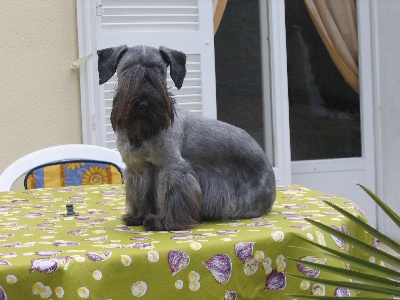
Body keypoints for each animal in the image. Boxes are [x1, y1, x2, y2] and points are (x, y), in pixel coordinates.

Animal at [98, 45, 276, 231]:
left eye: (159, 71)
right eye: (127, 70)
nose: (144, 104)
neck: (144, 131)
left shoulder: (173, 168)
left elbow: (172, 195)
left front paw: (164, 222)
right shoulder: (138, 170)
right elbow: (140, 196)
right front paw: (138, 216)